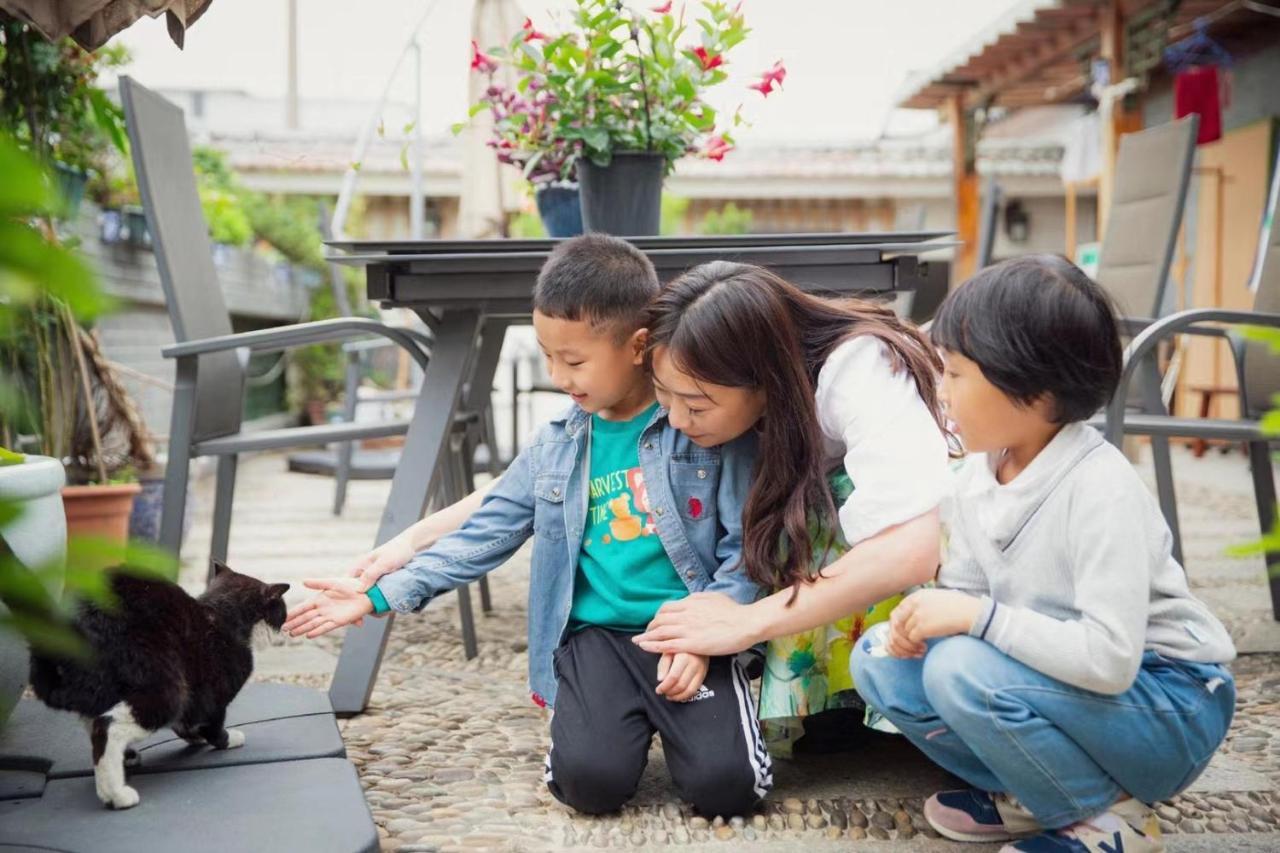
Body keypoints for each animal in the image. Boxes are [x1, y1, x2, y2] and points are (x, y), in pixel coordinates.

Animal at [28, 560, 290, 809]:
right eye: (282, 612)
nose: (286, 629)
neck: (223, 616)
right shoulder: (216, 694)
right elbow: (213, 725)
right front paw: (226, 739)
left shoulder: (196, 695)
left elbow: (188, 723)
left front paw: (194, 737)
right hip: (167, 688)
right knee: (107, 725)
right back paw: (116, 795)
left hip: (100, 689)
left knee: (94, 721)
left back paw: (126, 758)